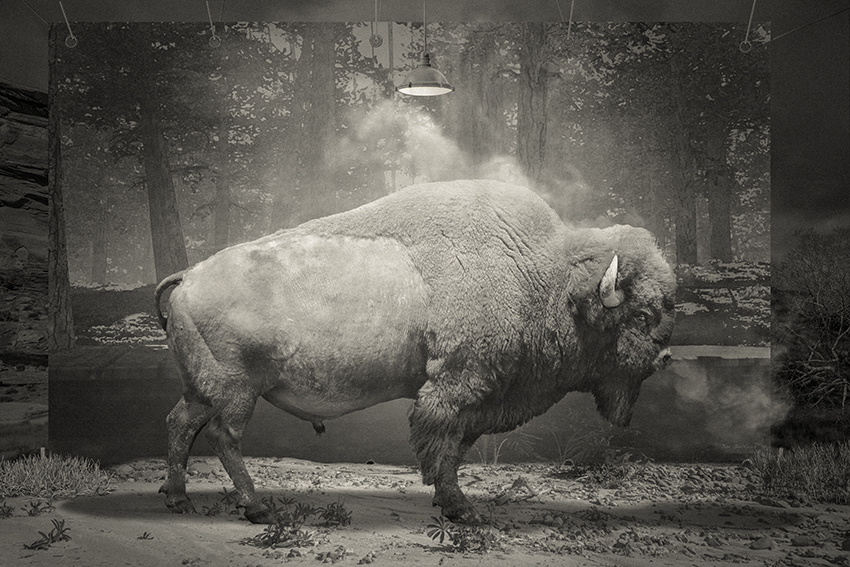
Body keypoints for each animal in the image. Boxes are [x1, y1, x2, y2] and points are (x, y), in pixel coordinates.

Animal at [155, 179, 676, 523]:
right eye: (641, 316)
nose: (663, 359)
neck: (539, 273)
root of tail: (188, 276)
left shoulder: (477, 397)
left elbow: (457, 446)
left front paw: (451, 501)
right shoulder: (458, 384)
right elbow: (441, 444)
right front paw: (460, 508)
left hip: (201, 387)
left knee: (180, 424)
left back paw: (179, 498)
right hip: (237, 389)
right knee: (224, 436)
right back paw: (257, 507)